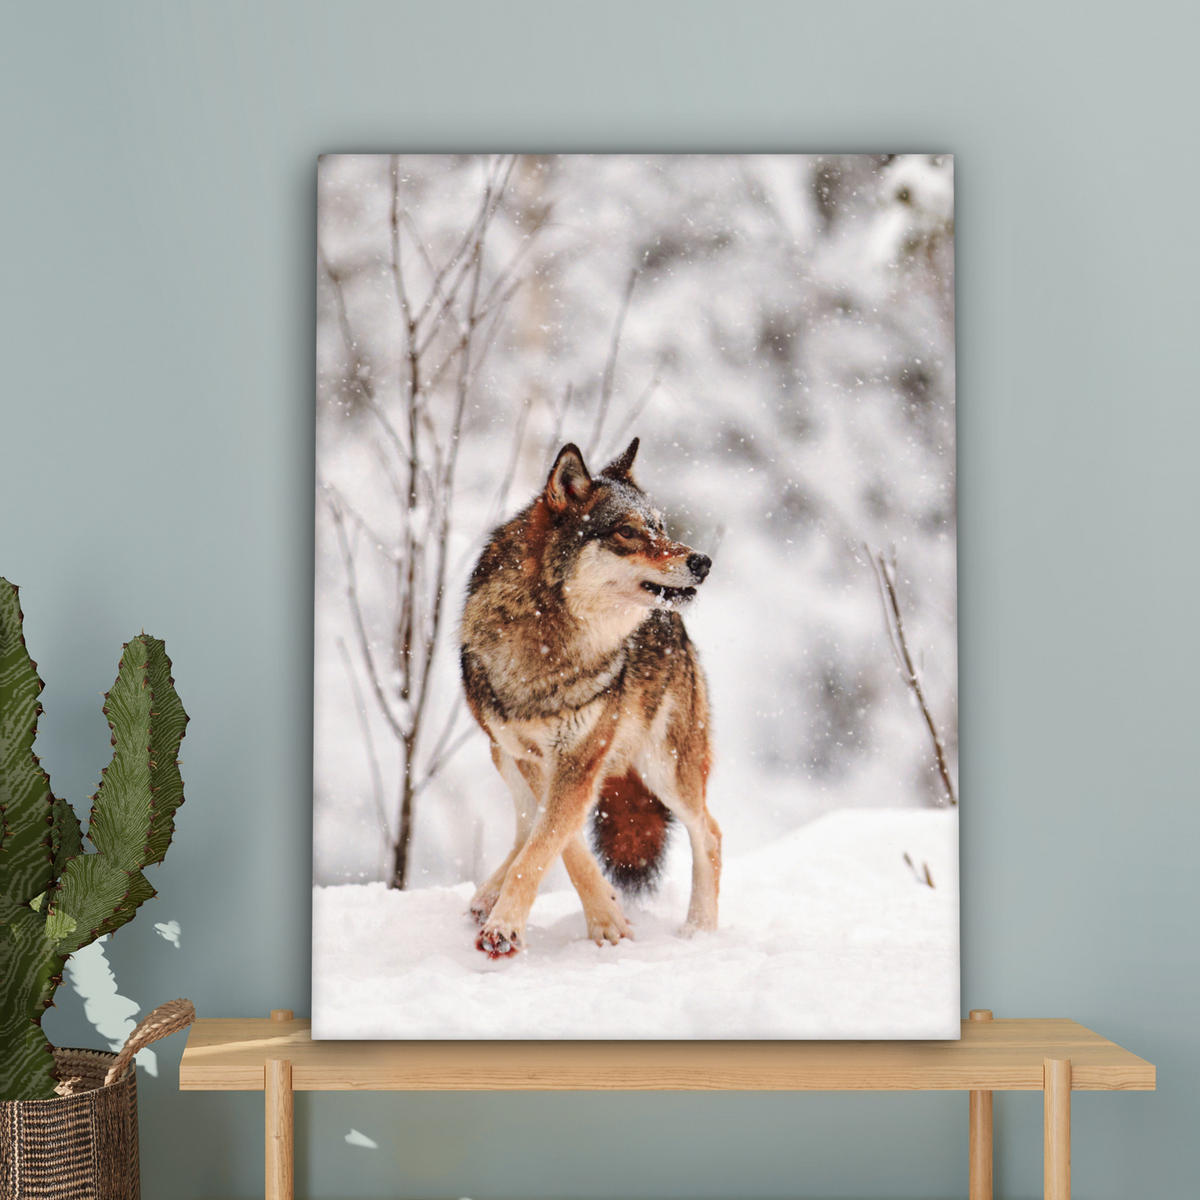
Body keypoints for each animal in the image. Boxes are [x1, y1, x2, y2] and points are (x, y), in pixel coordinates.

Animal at [460, 437, 721, 958]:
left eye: (661, 527)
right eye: (627, 531)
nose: (702, 561)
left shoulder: (580, 757)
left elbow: (546, 845)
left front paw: (509, 928)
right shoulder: (534, 756)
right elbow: (557, 843)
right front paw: (605, 915)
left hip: (666, 769)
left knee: (710, 834)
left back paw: (699, 931)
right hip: (502, 754)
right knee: (524, 824)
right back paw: (486, 896)